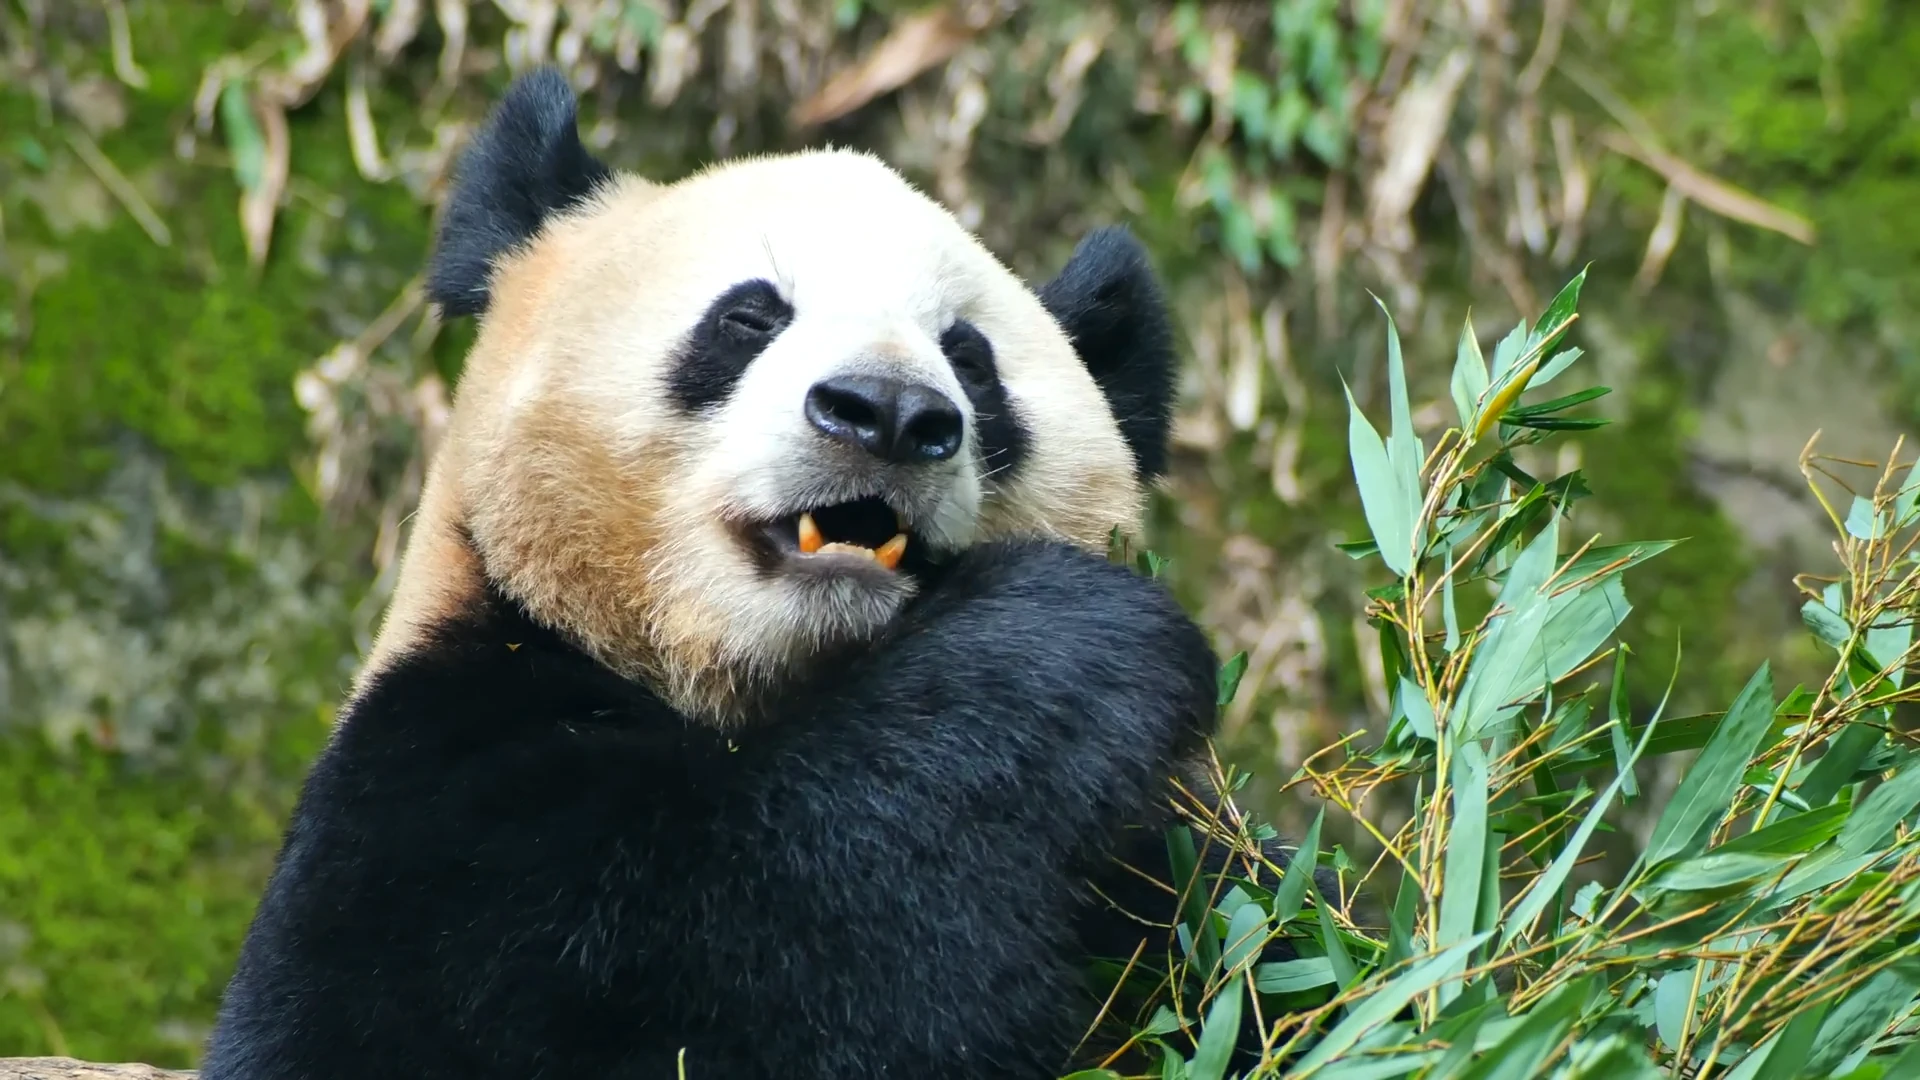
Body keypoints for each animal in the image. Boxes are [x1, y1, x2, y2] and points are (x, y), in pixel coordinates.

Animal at [201, 68, 1319, 1080]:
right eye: (749, 317)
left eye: (972, 358)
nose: (887, 412)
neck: (761, 684)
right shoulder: (434, 768)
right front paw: (1063, 647)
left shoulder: (1166, 876)